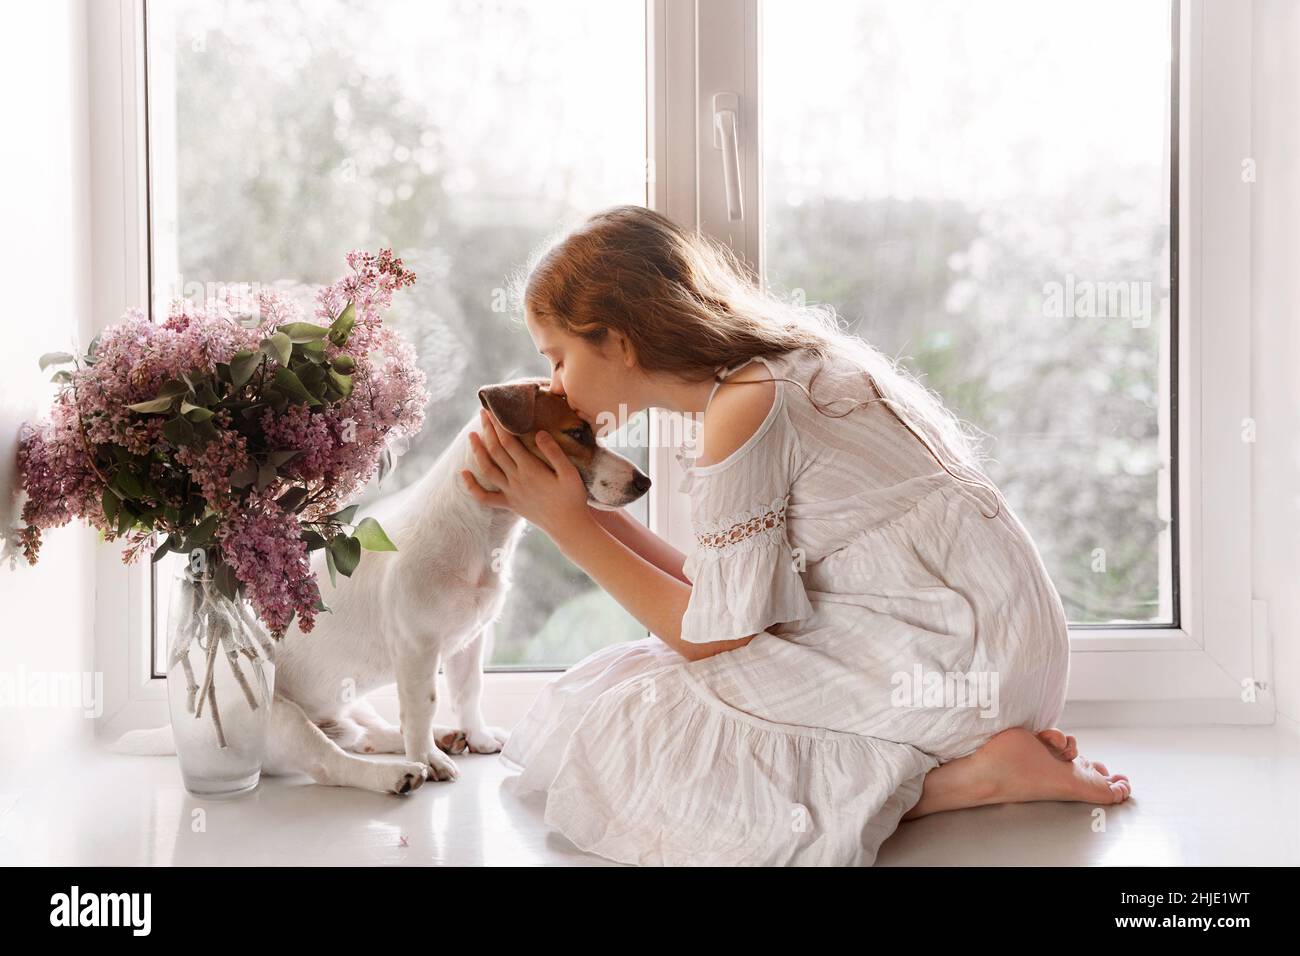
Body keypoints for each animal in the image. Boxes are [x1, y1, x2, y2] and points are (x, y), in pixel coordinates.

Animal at [114, 377, 650, 796]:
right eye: (577, 433)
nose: (643, 482)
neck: (483, 532)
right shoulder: (417, 650)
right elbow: (421, 708)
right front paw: (429, 760)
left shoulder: (470, 642)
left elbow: (468, 692)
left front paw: (474, 736)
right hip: (279, 718)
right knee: (332, 760)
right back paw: (400, 772)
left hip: (353, 702)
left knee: (363, 734)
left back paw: (441, 737)